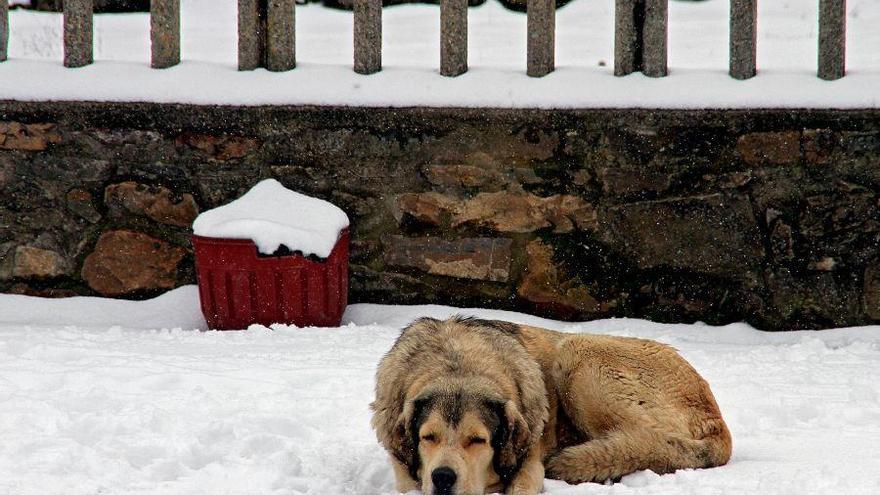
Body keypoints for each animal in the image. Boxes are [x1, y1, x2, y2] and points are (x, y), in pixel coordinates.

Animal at [368, 318, 732, 495]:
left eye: (478, 440)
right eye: (428, 438)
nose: (443, 477)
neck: (457, 362)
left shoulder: (530, 457)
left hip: (578, 355)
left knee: (648, 443)